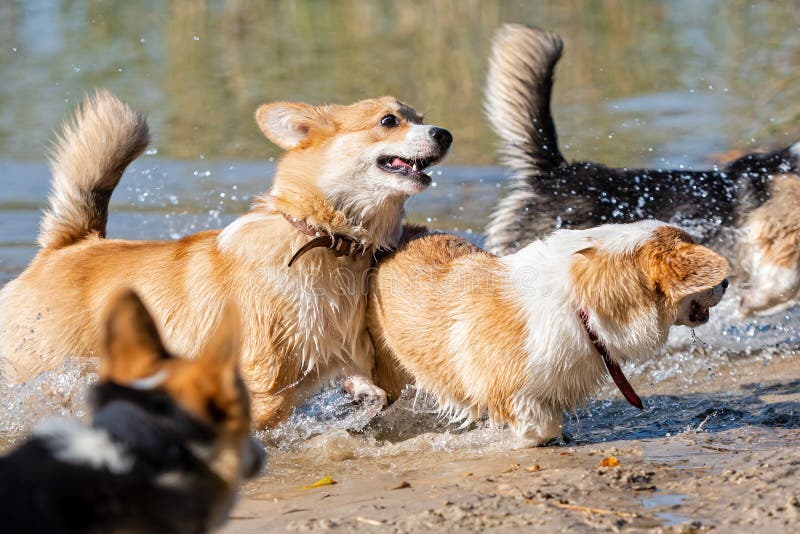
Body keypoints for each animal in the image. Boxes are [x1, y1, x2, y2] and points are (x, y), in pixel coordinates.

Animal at [0, 91, 450, 428]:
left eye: (421, 118)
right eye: (389, 121)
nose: (445, 133)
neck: (322, 238)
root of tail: (69, 244)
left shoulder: (349, 357)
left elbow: (370, 389)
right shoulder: (262, 378)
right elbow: (266, 412)